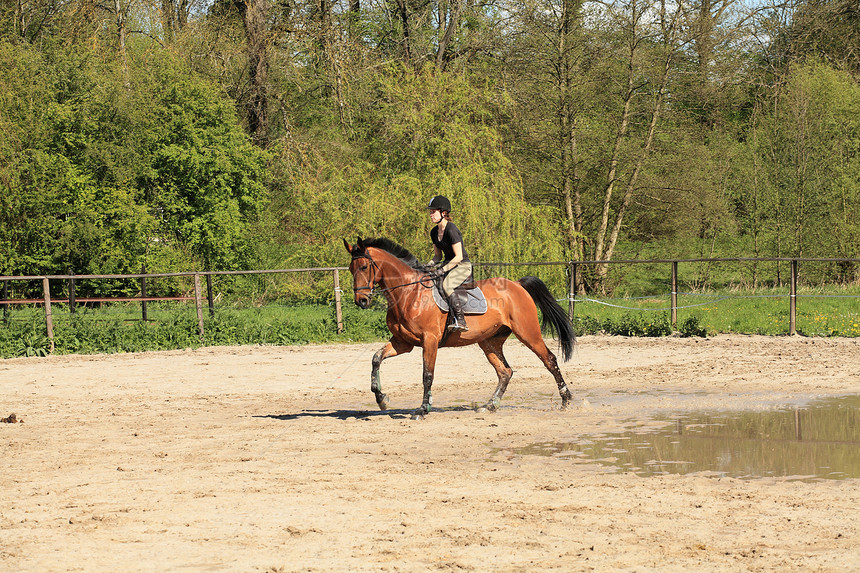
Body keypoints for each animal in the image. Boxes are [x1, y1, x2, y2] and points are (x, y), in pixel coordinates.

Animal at [340, 235, 572, 418]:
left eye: (364, 267)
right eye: (351, 269)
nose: (361, 301)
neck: (408, 293)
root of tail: (517, 284)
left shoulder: (430, 340)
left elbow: (427, 375)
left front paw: (423, 409)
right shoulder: (402, 343)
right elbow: (376, 359)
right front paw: (381, 399)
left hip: (528, 333)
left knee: (549, 360)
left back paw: (566, 400)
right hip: (489, 341)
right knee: (505, 371)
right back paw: (490, 405)